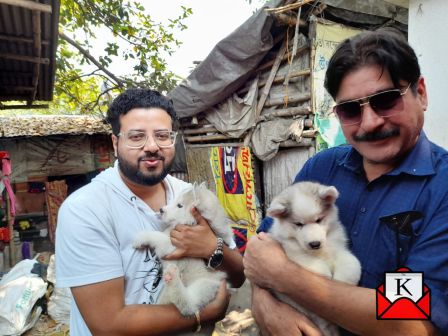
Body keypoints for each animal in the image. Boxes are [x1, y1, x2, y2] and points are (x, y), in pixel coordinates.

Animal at [131, 182, 233, 316]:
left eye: (179, 205)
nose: (161, 210)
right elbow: (161, 234)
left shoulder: (172, 246)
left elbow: (157, 236)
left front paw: (140, 238)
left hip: (203, 285)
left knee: (189, 305)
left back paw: (172, 276)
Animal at [266, 181, 360, 336]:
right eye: (299, 224)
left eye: (319, 220)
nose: (315, 244)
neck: (320, 252)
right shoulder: (292, 252)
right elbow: (314, 264)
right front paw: (326, 274)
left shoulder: (338, 247)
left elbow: (351, 262)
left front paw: (343, 282)